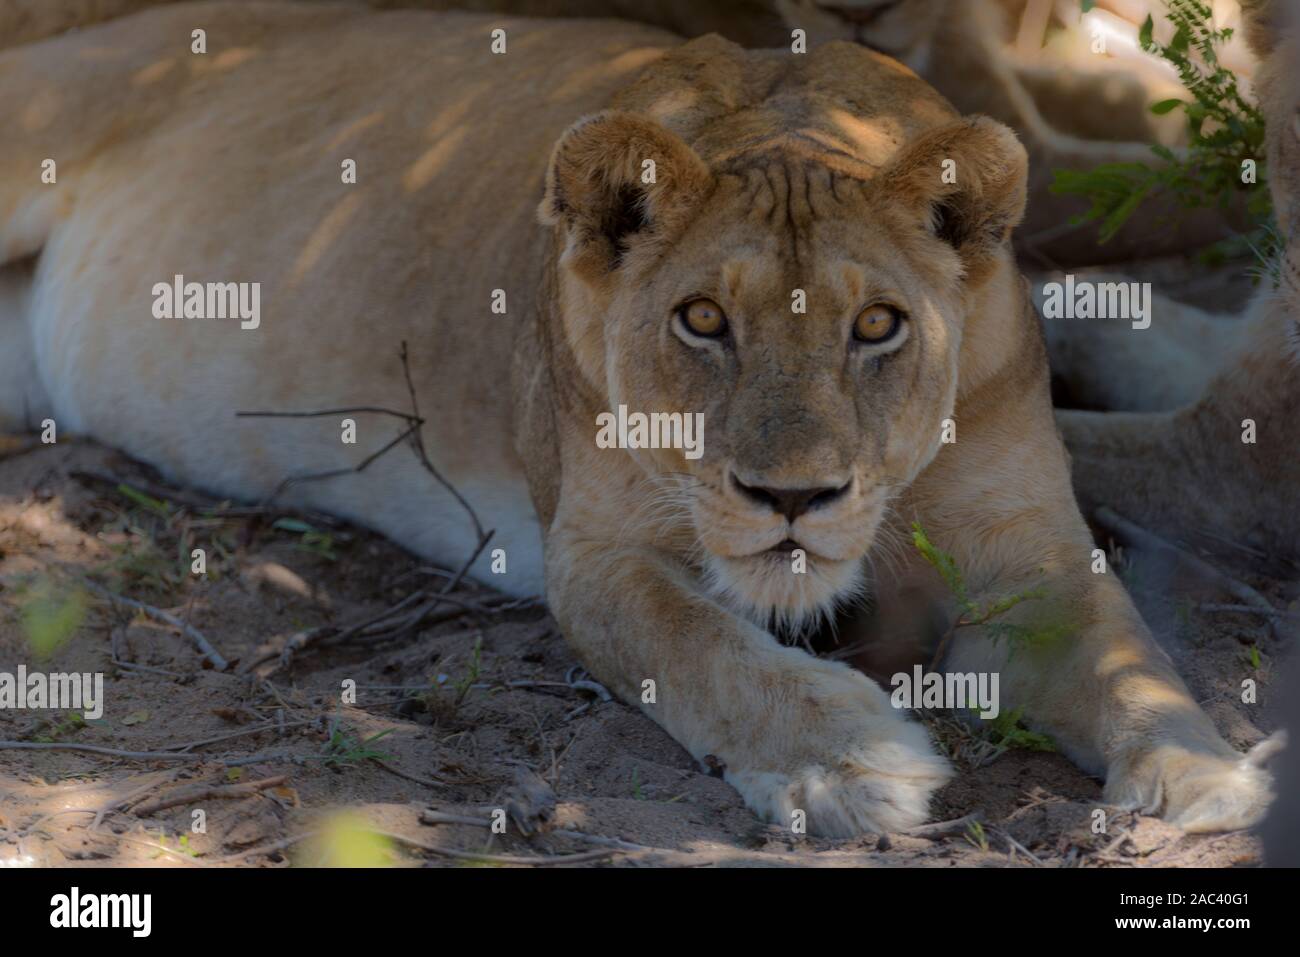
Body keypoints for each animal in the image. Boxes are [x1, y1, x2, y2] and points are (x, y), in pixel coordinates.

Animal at [0, 3, 1279, 832]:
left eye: (877, 326)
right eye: (703, 319)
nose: (793, 498)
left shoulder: (1031, 556)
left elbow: (1128, 655)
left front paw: (1205, 773)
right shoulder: (598, 553)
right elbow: (704, 649)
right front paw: (850, 760)